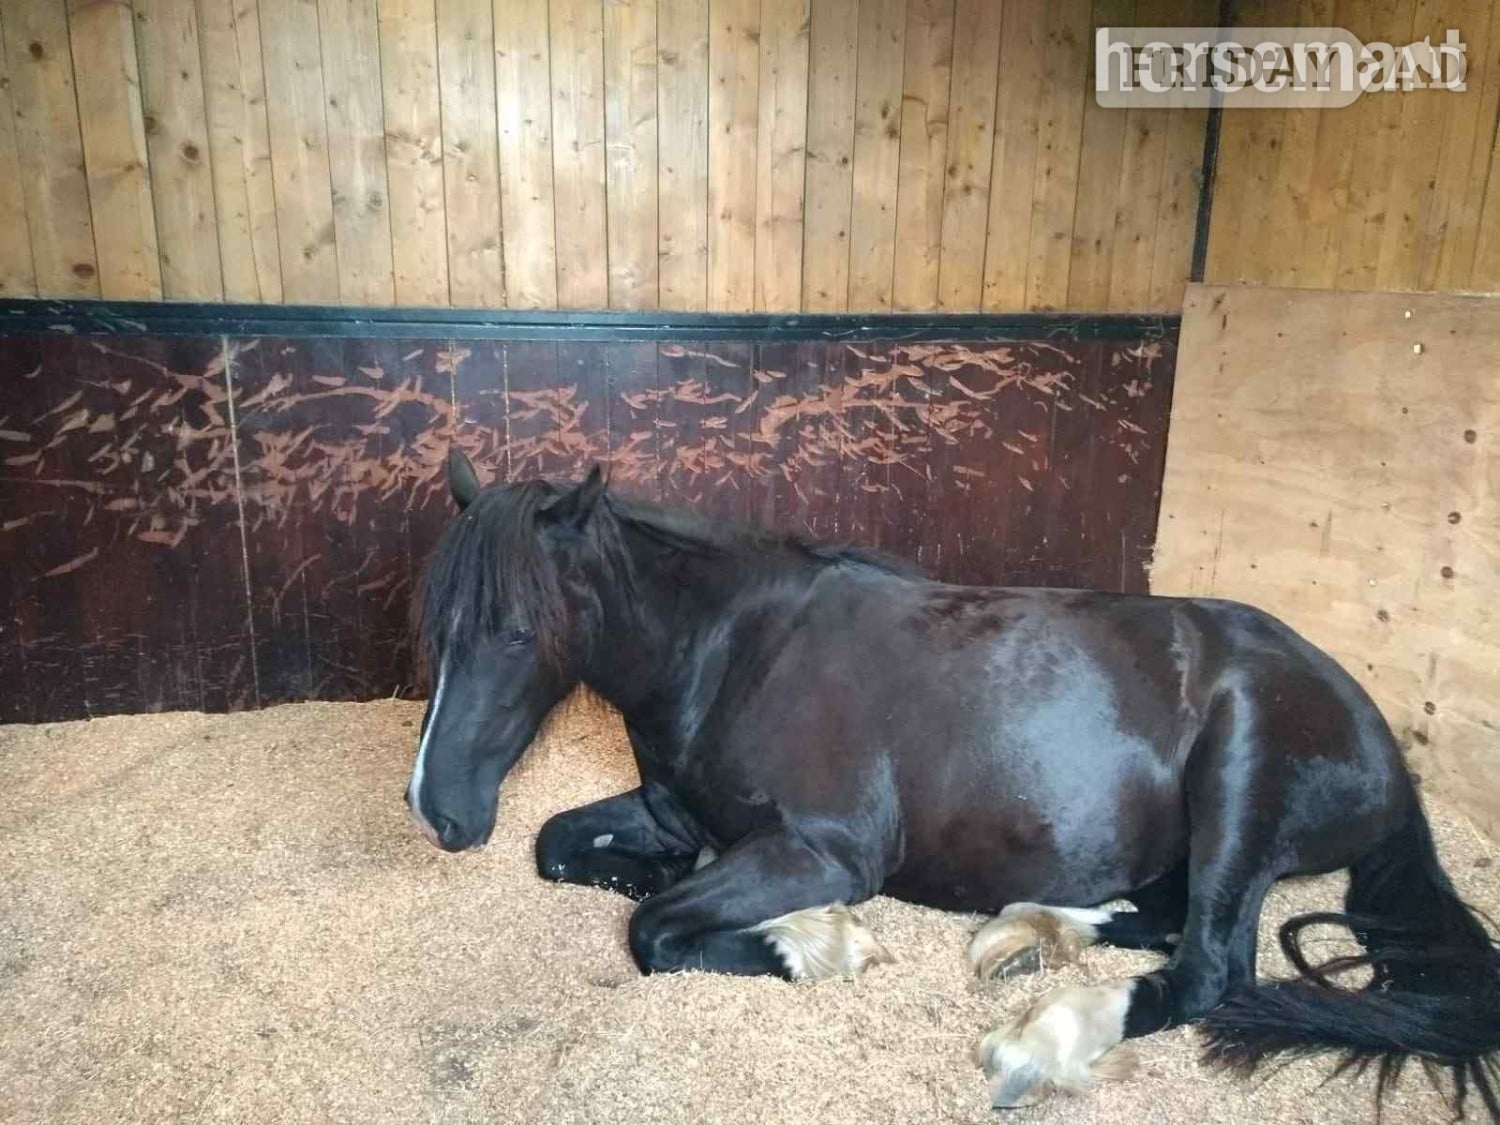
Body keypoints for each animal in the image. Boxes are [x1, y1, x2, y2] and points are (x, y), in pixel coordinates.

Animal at [405, 451, 1500, 1116]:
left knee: (1207, 969)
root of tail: (1385, 750)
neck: (734, 651)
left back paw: (1042, 1040)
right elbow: (564, 849)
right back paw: (1025, 936)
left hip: (1239, 778)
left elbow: (656, 932)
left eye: (516, 630)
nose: (435, 809)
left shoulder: (823, 852)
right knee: (1157, 917)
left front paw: (816, 945)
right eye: (436, 622)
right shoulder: (676, 816)